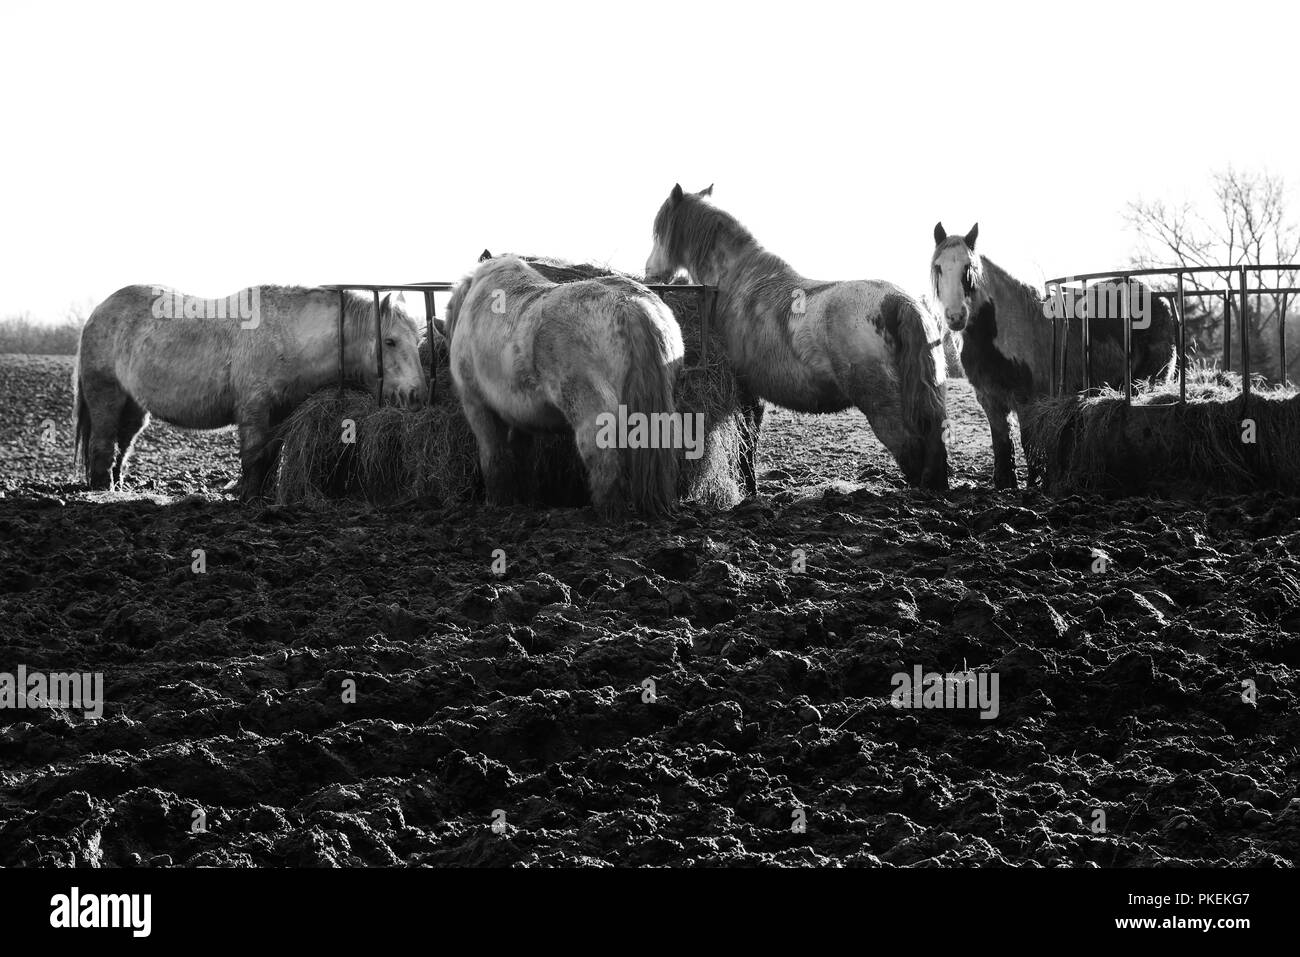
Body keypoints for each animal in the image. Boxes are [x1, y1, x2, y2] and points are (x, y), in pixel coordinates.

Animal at [74, 283, 426, 496]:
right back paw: (101, 490)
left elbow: (272, 458)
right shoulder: (254, 413)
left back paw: (118, 486)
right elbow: (255, 458)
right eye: (390, 341)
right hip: (107, 397)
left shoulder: (281, 415)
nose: (417, 395)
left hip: (134, 407)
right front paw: (249, 497)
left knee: (122, 445)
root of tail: (99, 311)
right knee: (102, 443)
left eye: (418, 339)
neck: (289, 337)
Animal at [436, 250, 681, 520]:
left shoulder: (478, 407)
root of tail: (629, 304)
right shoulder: (520, 418)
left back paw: (607, 511)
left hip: (590, 412)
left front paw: (497, 502)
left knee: (603, 459)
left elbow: (493, 456)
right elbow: (522, 458)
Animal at [644, 184, 951, 494]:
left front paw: (748, 488)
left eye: (659, 231)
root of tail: (898, 301)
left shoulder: (744, 388)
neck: (736, 281)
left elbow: (746, 442)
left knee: (911, 452)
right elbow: (751, 438)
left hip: (884, 409)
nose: (649, 271)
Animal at [925, 222, 1180, 486]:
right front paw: (1006, 484)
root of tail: (1157, 297)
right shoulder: (989, 399)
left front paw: (1034, 483)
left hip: (1150, 381)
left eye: (969, 268)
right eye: (938, 267)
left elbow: (1029, 444)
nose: (955, 316)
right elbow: (1002, 444)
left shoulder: (1027, 401)